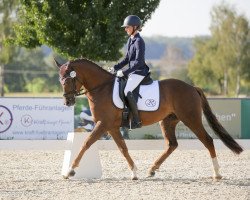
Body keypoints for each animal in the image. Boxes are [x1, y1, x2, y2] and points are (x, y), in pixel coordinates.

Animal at [55, 57, 243, 180]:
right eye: (60, 80)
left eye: (69, 80)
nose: (67, 101)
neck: (102, 88)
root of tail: (192, 87)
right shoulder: (112, 127)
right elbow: (123, 148)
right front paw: (134, 172)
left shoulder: (103, 124)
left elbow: (86, 143)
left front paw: (70, 170)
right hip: (168, 121)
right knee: (172, 144)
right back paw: (152, 169)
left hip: (191, 119)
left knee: (208, 140)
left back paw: (217, 173)